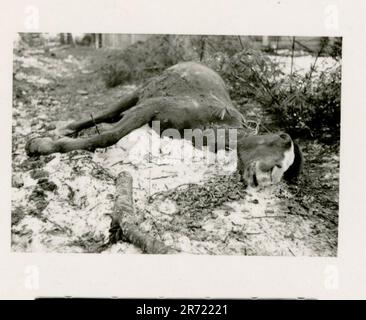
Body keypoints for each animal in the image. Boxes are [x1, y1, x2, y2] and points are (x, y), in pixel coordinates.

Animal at [25, 61, 304, 186]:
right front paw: (43, 145)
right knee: (105, 113)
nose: (264, 183)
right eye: (277, 165)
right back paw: (63, 129)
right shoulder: (151, 106)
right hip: (139, 92)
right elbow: (109, 135)